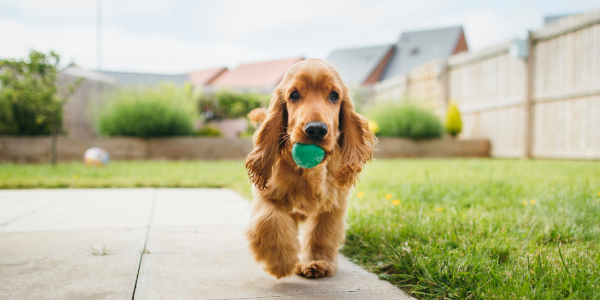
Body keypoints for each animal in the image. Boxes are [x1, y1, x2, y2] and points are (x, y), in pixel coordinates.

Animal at [244, 58, 376, 278]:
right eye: (294, 95)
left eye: (334, 96)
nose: (316, 129)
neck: (310, 172)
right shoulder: (268, 194)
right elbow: (269, 220)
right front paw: (281, 260)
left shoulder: (334, 203)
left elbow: (321, 232)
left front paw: (316, 261)